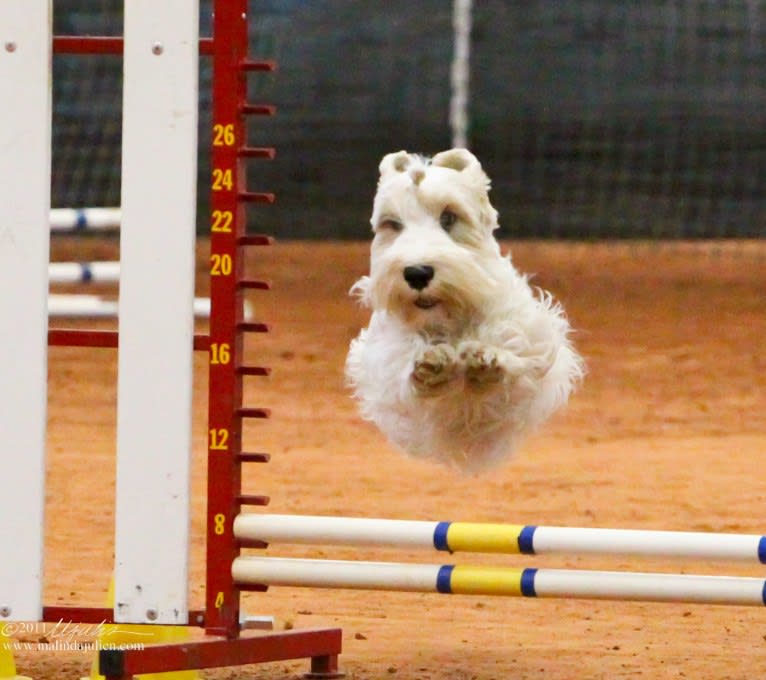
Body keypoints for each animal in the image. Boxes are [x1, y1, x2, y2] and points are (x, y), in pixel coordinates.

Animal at [344, 149, 584, 470]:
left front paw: (489, 360)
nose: (417, 273)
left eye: (449, 217)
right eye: (393, 224)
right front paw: (429, 365)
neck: (450, 316)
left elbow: (515, 349)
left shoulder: (530, 335)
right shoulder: (385, 353)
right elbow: (403, 361)